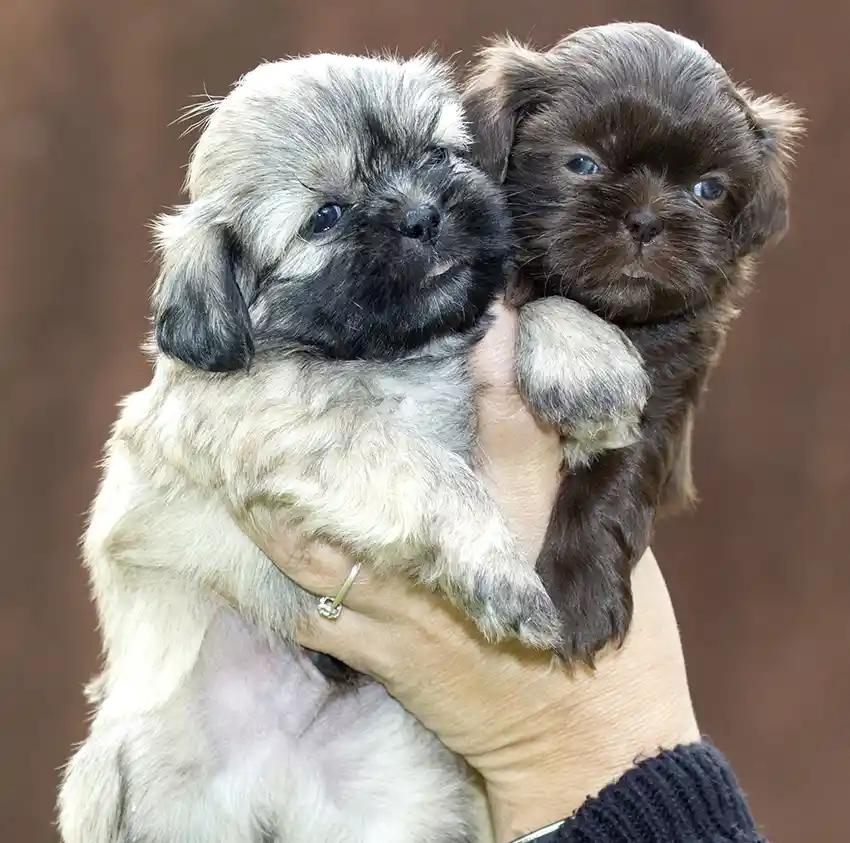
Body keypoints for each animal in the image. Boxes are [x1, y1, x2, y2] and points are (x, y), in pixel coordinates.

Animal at [58, 51, 644, 843]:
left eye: (435, 155)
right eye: (327, 217)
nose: (423, 216)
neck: (389, 355)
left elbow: (528, 306)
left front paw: (589, 361)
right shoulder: (309, 437)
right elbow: (439, 479)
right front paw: (498, 572)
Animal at [464, 19, 800, 664]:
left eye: (708, 189)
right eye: (581, 163)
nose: (646, 219)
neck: (614, 314)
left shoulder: (663, 397)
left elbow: (613, 479)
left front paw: (578, 590)